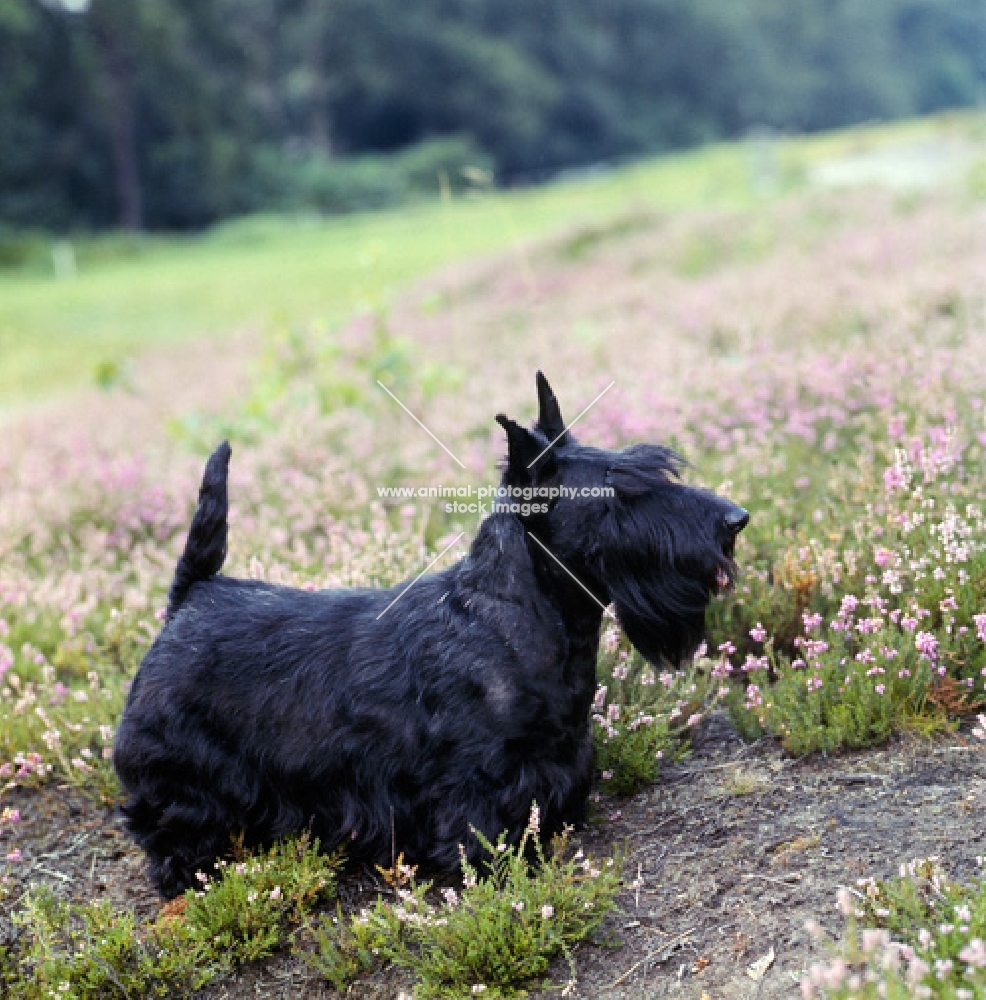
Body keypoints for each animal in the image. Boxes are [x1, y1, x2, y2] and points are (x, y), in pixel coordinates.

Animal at [113, 376, 744, 900]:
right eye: (621, 493)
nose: (735, 519)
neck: (514, 616)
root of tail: (192, 597)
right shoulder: (472, 787)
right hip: (179, 777)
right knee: (171, 828)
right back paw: (187, 876)